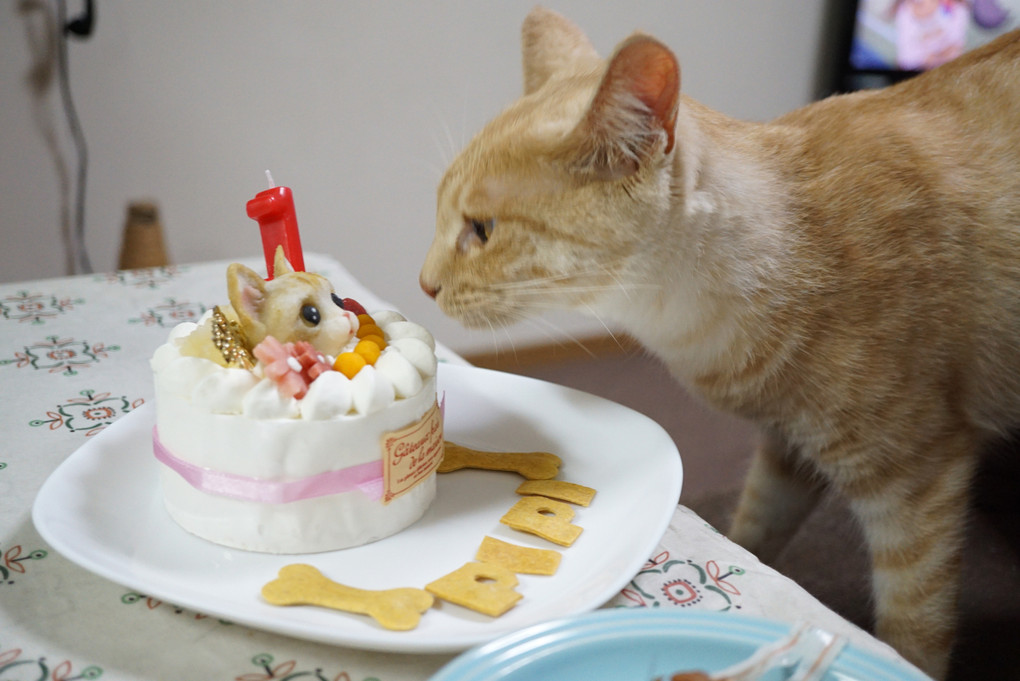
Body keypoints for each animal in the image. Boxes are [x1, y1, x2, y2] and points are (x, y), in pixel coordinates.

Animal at [416, 6, 1020, 681]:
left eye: (482, 229)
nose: (424, 284)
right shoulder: (787, 453)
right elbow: (752, 537)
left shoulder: (916, 478)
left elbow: (913, 630)